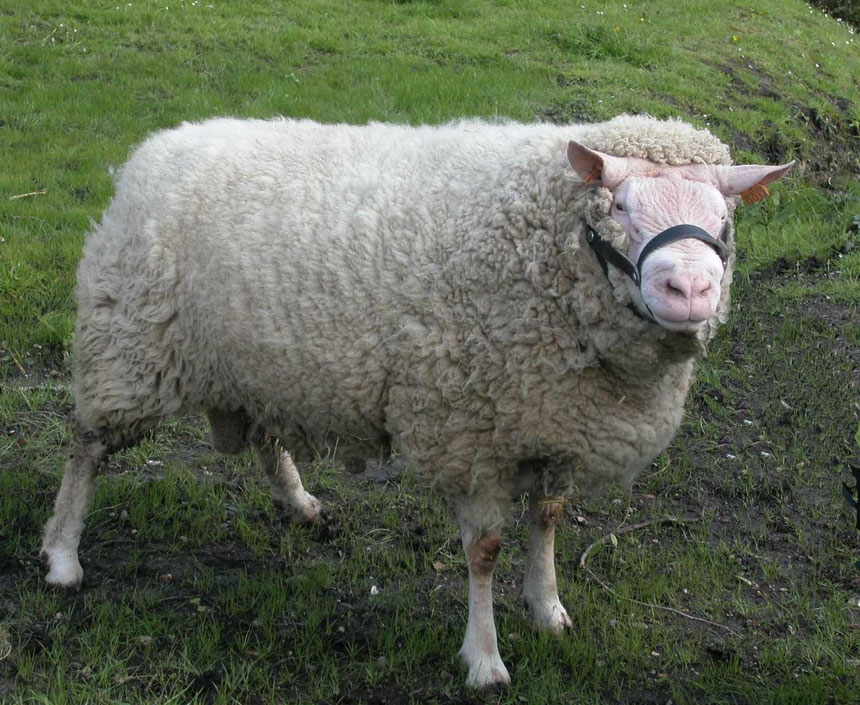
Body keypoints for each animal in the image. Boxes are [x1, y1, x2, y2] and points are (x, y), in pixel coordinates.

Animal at [40, 115, 792, 687]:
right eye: (621, 206)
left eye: (724, 220)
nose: (689, 290)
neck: (537, 255)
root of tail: (154, 149)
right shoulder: (470, 433)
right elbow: (484, 550)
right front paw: (484, 659)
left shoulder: (553, 425)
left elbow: (547, 520)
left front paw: (547, 607)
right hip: (129, 344)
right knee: (87, 447)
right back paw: (62, 556)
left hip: (259, 360)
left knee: (264, 438)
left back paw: (300, 503)